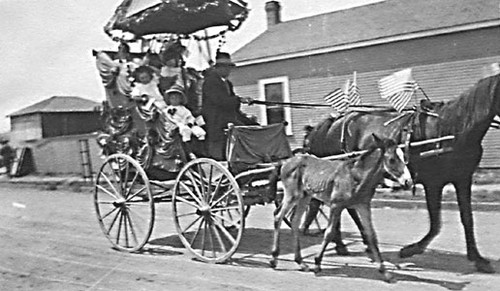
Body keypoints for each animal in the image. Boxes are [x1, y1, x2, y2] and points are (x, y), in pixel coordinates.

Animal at [272, 135, 412, 282]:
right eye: (392, 159)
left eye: (404, 157)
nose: (408, 182)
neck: (356, 176)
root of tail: (286, 161)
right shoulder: (336, 206)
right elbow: (329, 233)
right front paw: (317, 263)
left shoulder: (363, 206)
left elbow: (371, 235)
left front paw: (384, 271)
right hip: (292, 195)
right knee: (278, 216)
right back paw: (274, 258)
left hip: (305, 197)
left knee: (294, 221)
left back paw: (300, 262)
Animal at [304, 73, 500, 274]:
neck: (451, 129)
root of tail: (329, 124)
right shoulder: (434, 183)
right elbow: (435, 223)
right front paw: (411, 249)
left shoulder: (463, 179)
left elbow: (467, 219)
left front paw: (477, 259)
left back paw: (349, 243)